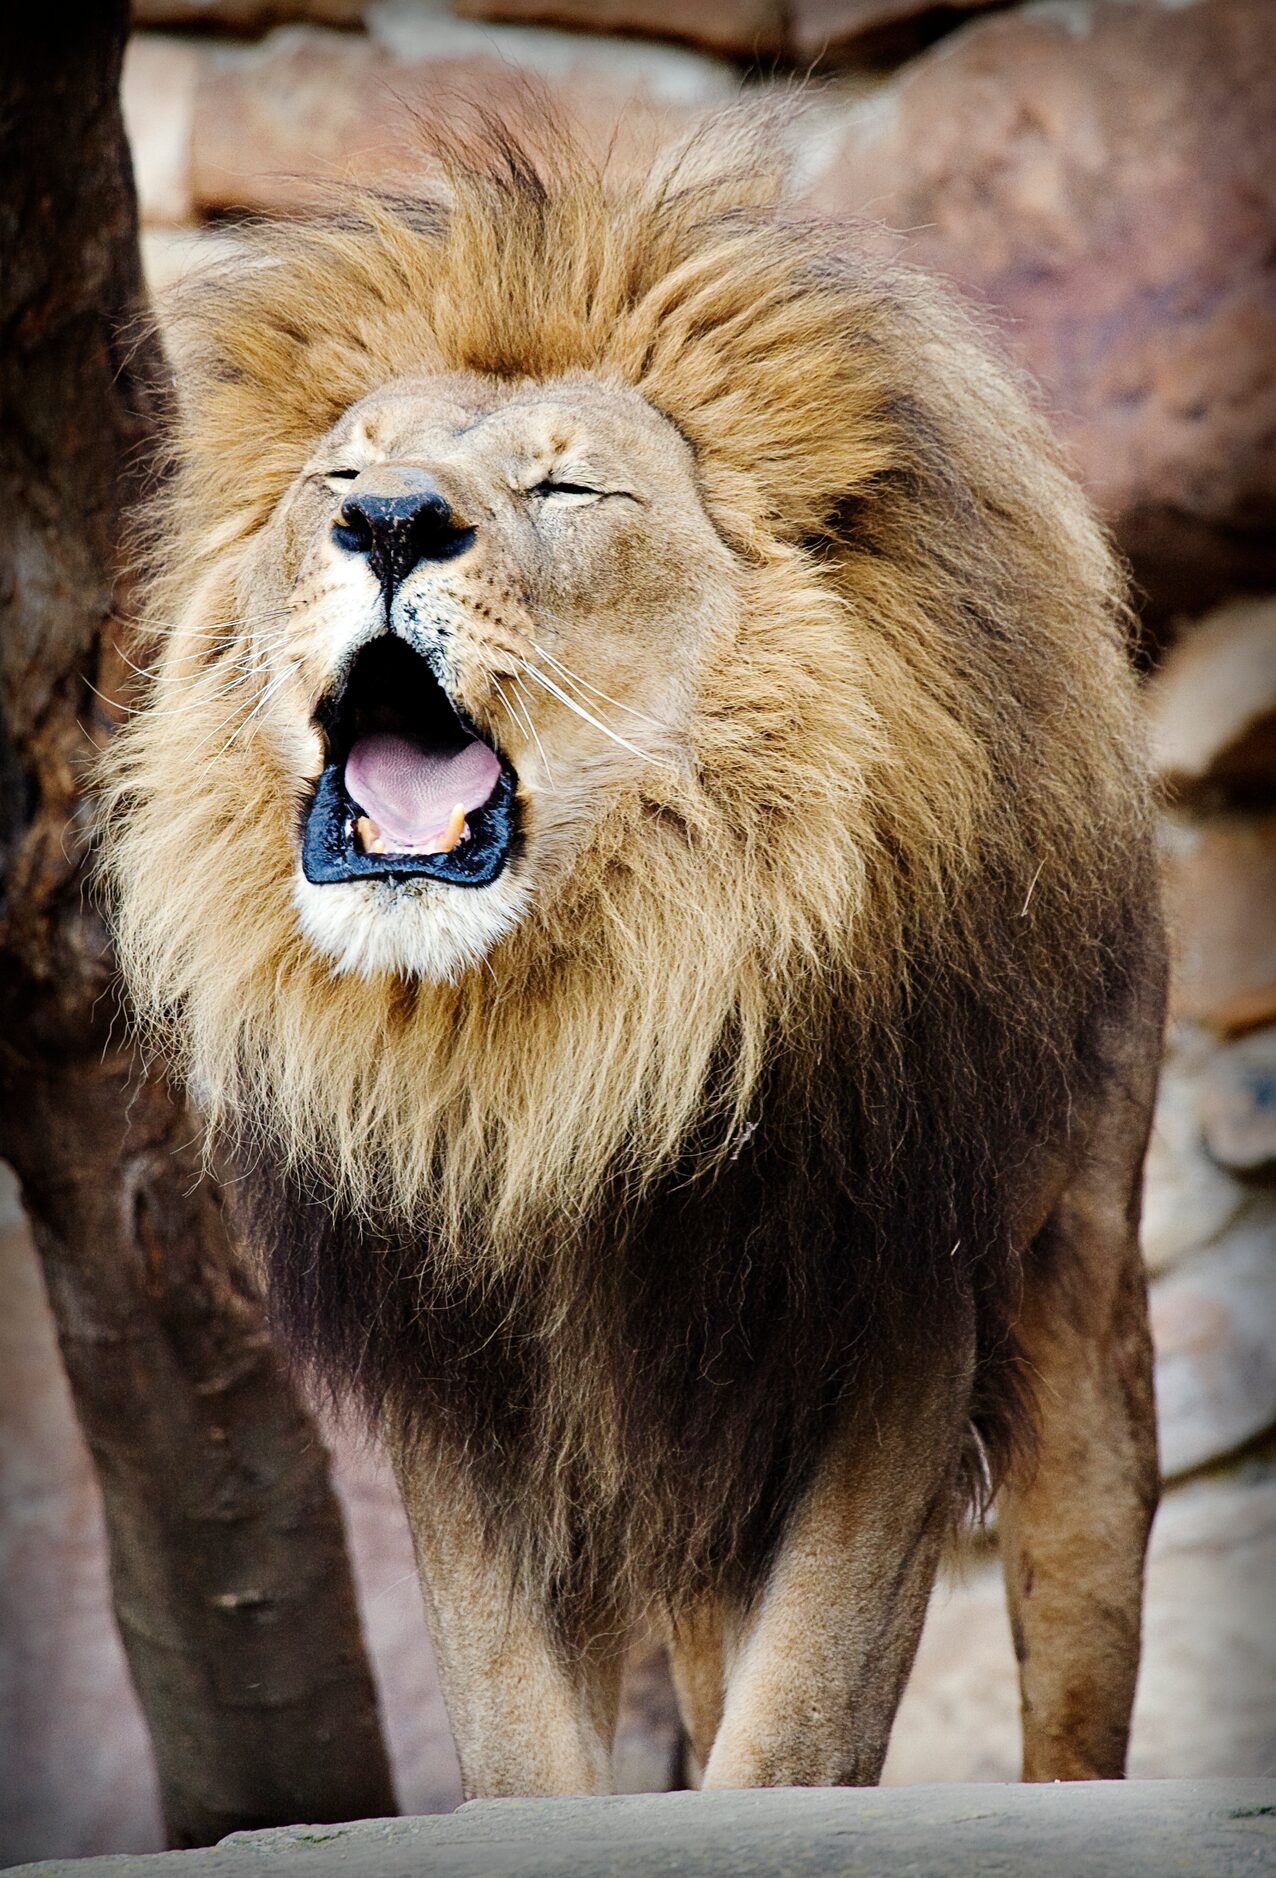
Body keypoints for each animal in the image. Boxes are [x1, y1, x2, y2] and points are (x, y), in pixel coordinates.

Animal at [104, 124, 1165, 1795]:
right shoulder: (454, 1356)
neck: (568, 1026)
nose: (388, 520)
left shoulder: (894, 1303)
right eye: (340, 472)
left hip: (1076, 1299)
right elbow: (517, 1725)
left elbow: (802, 1705)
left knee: (1079, 1597)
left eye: (566, 482)